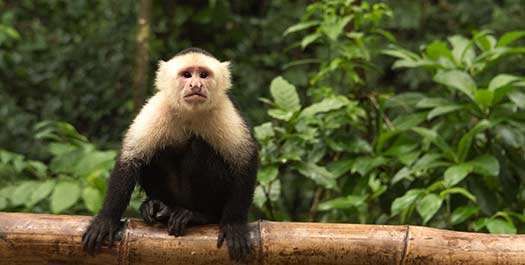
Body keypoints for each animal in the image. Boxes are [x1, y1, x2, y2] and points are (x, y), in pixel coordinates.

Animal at [81, 47, 258, 260]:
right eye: (187, 75)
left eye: (204, 75)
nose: (196, 85)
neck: (190, 112)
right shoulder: (157, 106)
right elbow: (130, 159)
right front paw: (106, 220)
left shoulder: (225, 109)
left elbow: (246, 161)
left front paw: (234, 224)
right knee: (157, 151)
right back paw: (159, 206)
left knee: (200, 148)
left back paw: (199, 215)